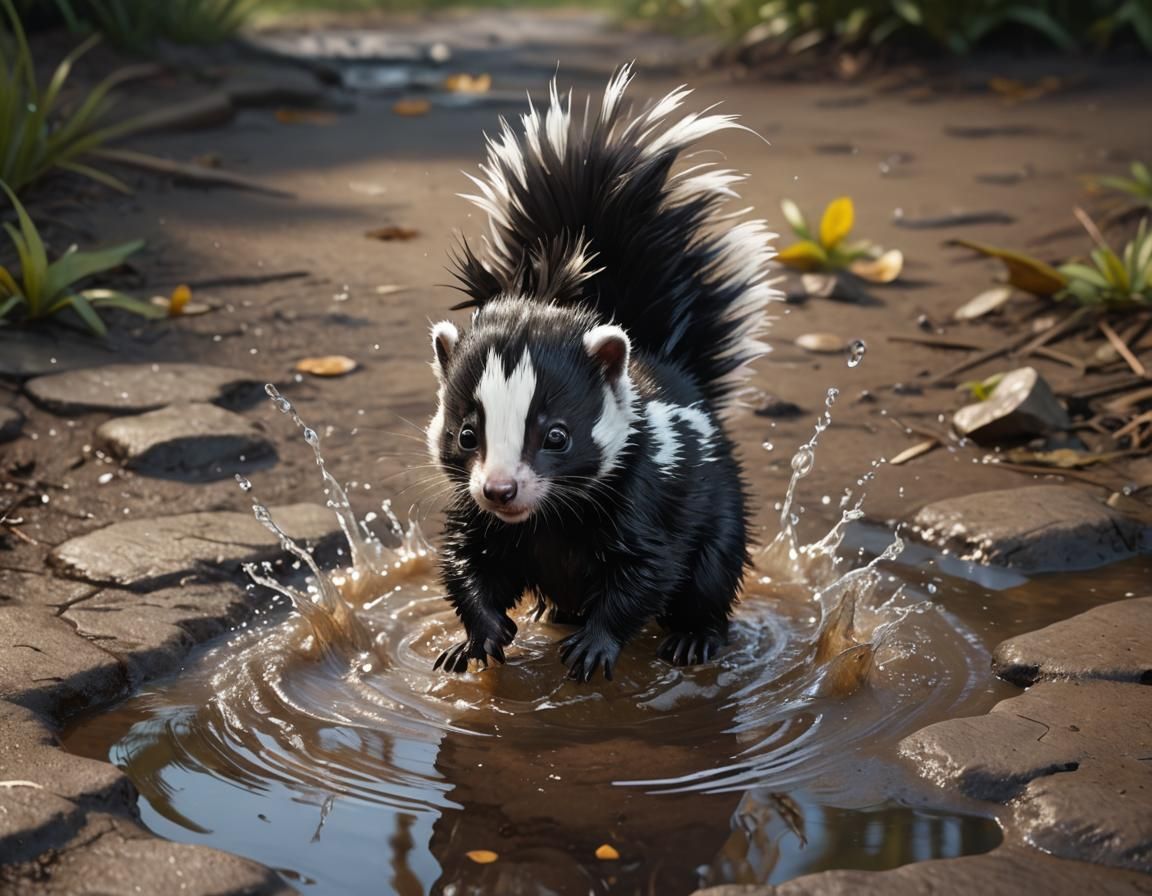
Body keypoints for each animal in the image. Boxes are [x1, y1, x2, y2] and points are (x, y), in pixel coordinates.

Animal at [423, 64, 774, 677]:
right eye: (467, 434)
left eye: (557, 436)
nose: (500, 490)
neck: (549, 520)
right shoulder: (476, 514)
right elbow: (466, 562)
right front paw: (478, 637)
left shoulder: (643, 495)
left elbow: (647, 571)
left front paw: (595, 645)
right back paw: (555, 612)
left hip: (718, 501)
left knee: (712, 569)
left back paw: (696, 637)